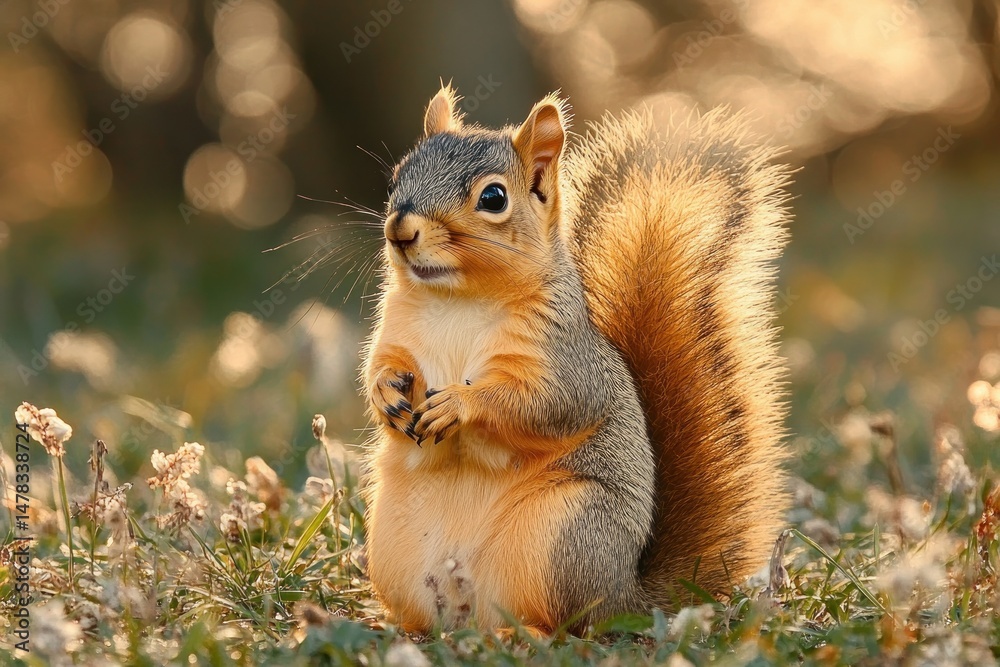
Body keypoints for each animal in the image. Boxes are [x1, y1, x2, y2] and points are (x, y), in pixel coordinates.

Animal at [360, 85, 791, 635]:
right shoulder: (394, 334)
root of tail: (629, 594)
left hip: (564, 533)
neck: (457, 299)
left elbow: (551, 405)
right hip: (392, 547)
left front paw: (459, 403)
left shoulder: (565, 357)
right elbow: (377, 366)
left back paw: (523, 633)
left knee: (570, 622)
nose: (400, 229)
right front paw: (385, 392)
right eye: (398, 174)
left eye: (493, 198)